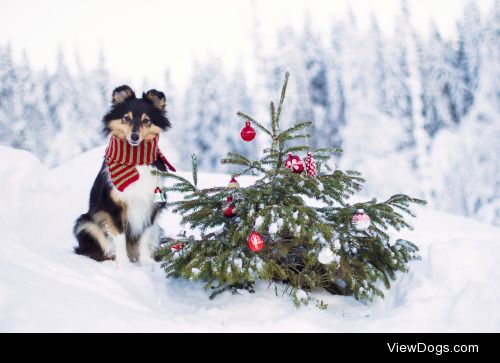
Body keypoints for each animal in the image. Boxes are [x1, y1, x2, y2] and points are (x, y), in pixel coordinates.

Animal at [73, 86, 175, 264]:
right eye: (126, 118)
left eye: (146, 120)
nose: (134, 136)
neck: (135, 158)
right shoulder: (114, 207)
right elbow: (120, 238)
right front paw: (123, 264)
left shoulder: (151, 207)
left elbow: (144, 238)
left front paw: (146, 263)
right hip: (86, 224)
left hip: (158, 229)